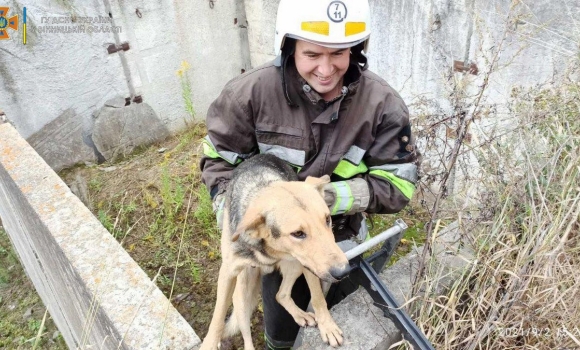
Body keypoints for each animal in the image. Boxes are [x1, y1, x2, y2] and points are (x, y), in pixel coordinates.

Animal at [199, 155, 346, 350]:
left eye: (327, 219)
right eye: (298, 233)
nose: (344, 271)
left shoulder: (310, 265)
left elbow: (318, 298)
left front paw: (327, 326)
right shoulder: (228, 272)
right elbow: (218, 316)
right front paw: (209, 343)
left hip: (295, 266)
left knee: (280, 294)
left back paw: (300, 314)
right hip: (243, 297)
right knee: (246, 334)